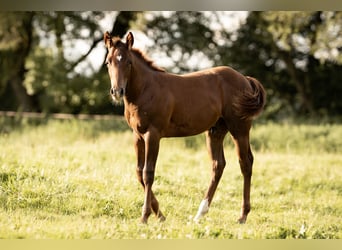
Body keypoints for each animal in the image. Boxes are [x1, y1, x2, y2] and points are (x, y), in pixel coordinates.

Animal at [103, 31, 266, 225]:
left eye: (128, 62)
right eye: (108, 62)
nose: (117, 91)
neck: (145, 89)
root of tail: (245, 79)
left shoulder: (153, 134)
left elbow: (148, 173)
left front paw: (145, 216)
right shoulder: (138, 136)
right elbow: (138, 172)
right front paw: (160, 215)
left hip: (239, 129)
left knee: (245, 163)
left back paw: (242, 216)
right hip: (216, 131)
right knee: (218, 165)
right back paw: (200, 214)